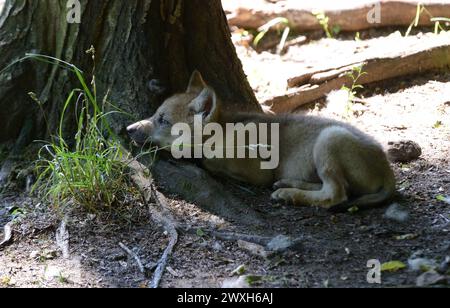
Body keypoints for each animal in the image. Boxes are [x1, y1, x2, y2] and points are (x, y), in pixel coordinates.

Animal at [127, 70, 398, 209]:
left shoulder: (258, 171)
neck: (224, 130)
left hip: (330, 138)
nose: (128, 129)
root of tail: (387, 170)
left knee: (336, 194)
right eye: (154, 113)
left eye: (163, 120)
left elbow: (210, 157)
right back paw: (289, 184)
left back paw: (290, 194)